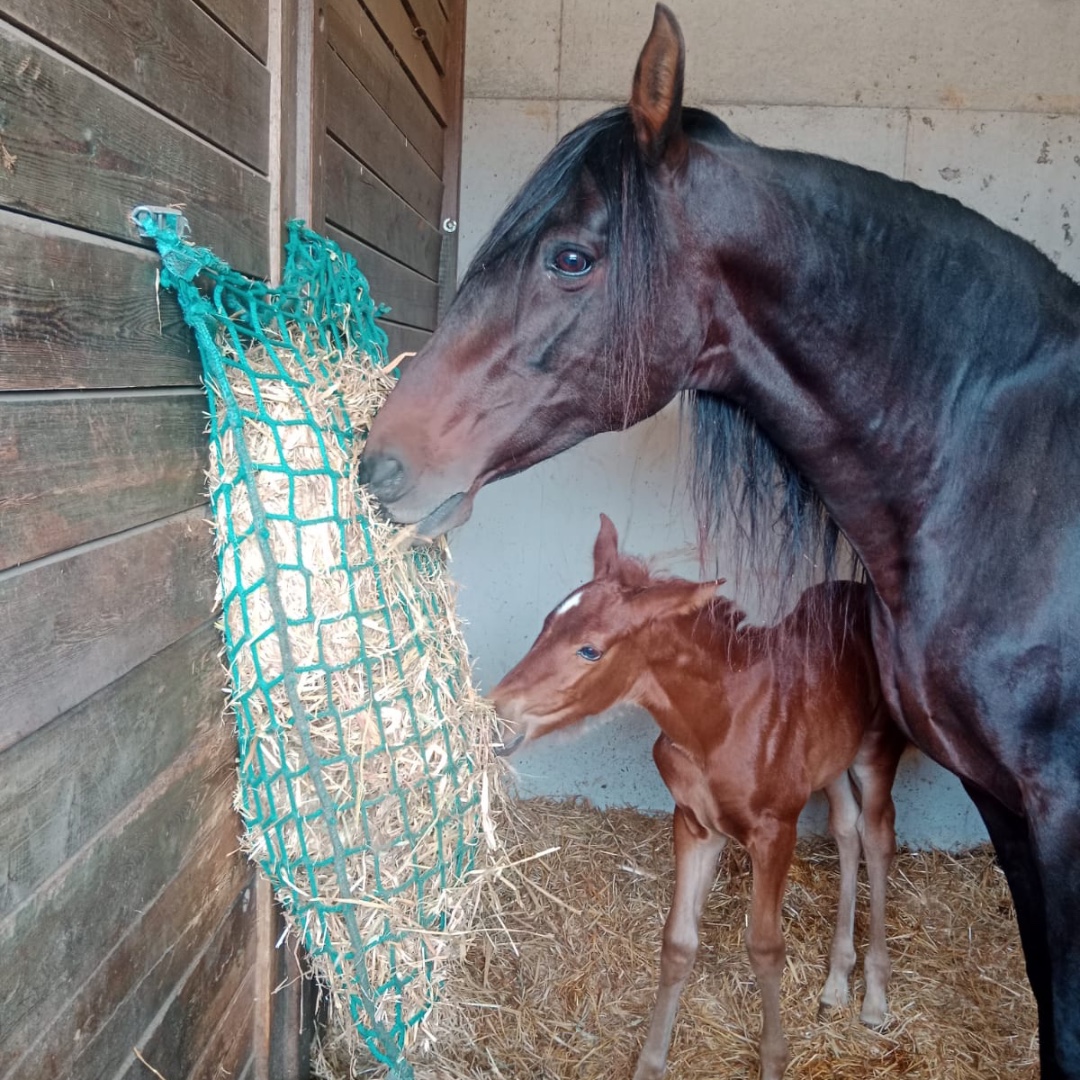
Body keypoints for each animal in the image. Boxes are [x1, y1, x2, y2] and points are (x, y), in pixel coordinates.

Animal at [492, 514, 906, 1080]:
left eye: (590, 649)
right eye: (545, 625)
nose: (495, 711)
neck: (718, 722)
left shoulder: (775, 830)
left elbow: (765, 947)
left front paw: (773, 1060)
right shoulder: (694, 823)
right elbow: (678, 941)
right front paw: (650, 1063)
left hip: (876, 748)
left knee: (878, 835)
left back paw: (875, 1000)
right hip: (831, 762)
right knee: (845, 829)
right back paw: (836, 984)